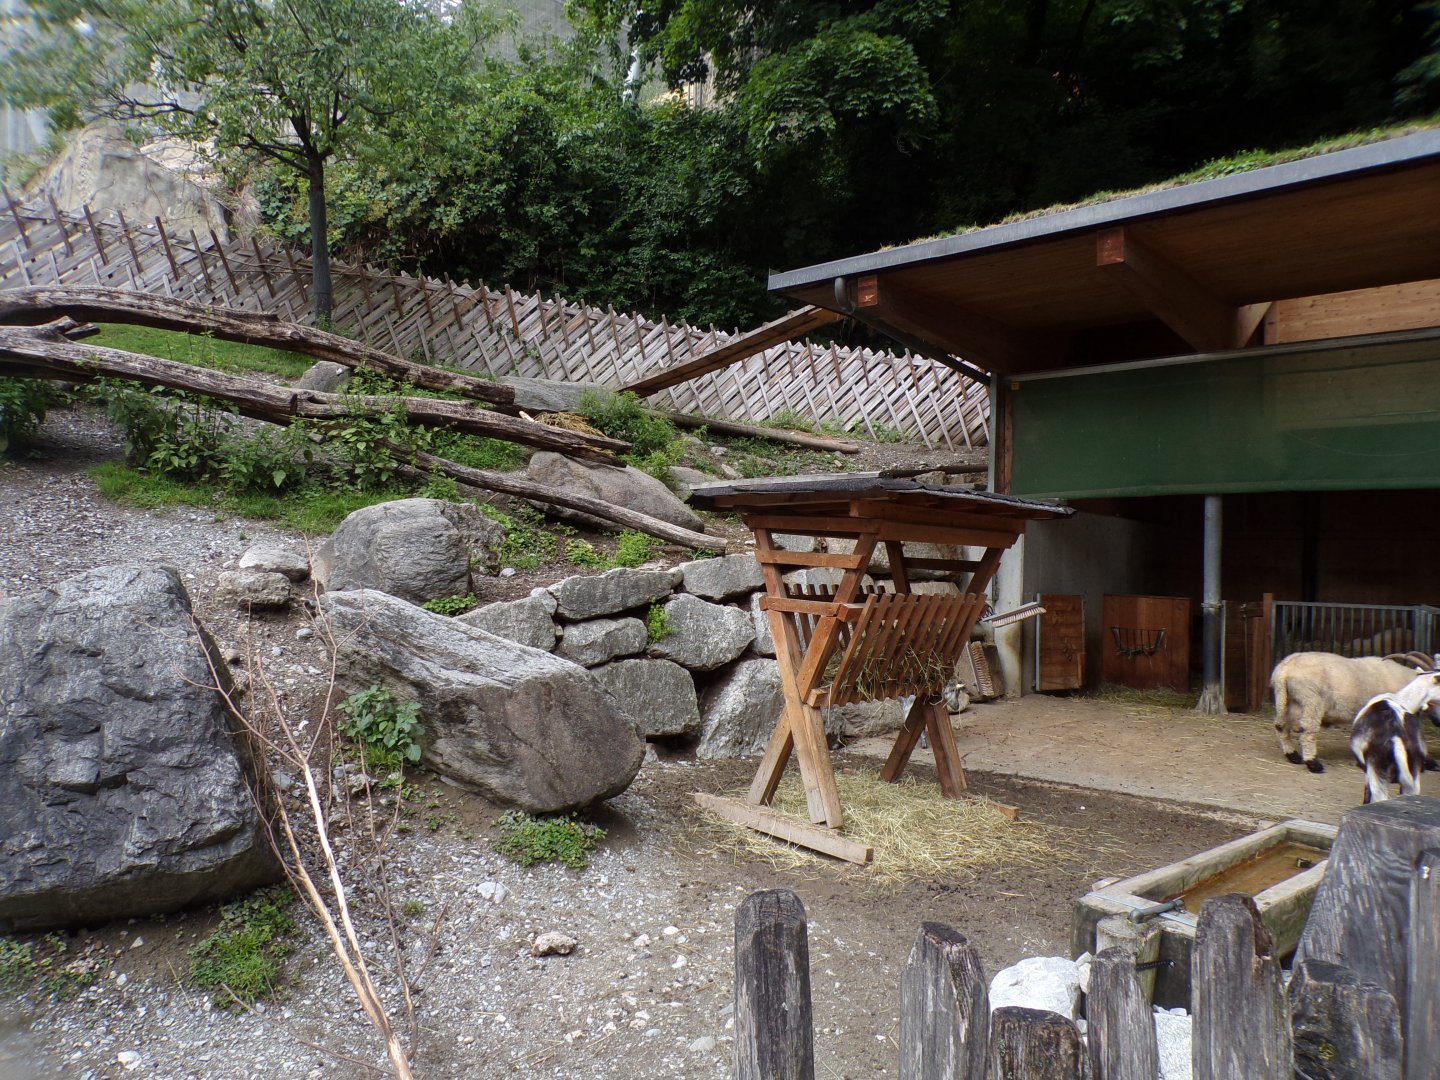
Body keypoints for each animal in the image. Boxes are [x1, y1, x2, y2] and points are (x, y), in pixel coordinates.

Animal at [1271, 652, 1424, 772]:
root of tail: (1284, 669)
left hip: (1286, 699)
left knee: (1280, 726)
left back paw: (1293, 756)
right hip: (1311, 700)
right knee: (1308, 732)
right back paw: (1313, 764)